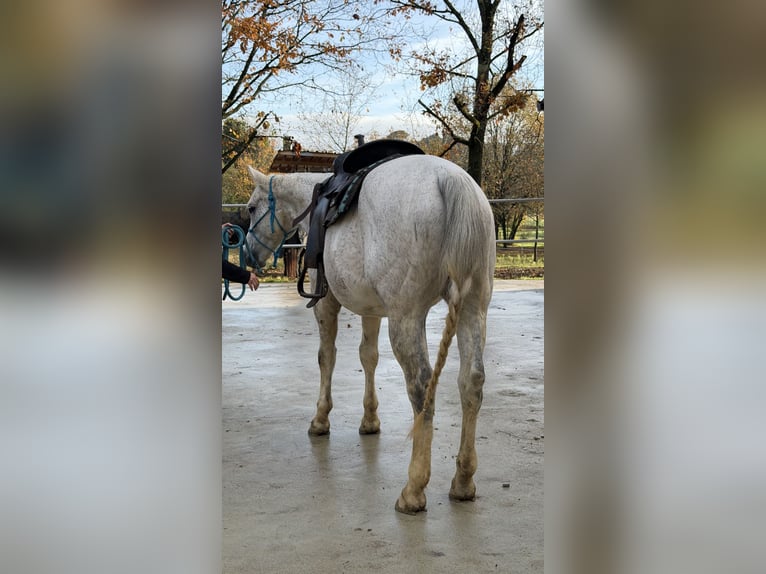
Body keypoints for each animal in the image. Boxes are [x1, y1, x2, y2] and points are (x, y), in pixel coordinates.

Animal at [244, 154, 496, 514]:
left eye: (251, 208)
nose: (248, 254)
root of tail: (452, 181)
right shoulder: (372, 309)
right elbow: (369, 356)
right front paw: (370, 420)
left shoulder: (326, 303)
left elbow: (327, 357)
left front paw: (321, 419)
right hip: (473, 309)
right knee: (471, 382)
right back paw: (462, 481)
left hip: (407, 318)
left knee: (421, 388)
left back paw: (414, 489)